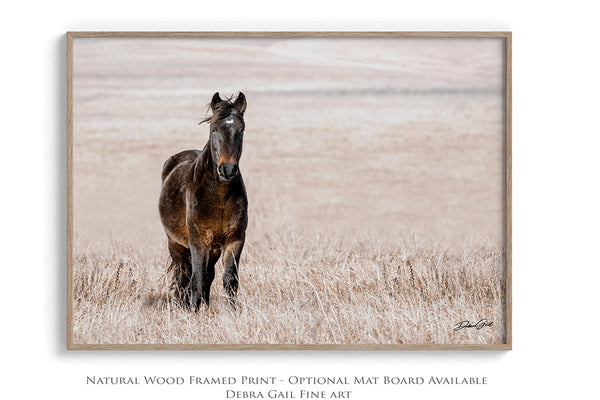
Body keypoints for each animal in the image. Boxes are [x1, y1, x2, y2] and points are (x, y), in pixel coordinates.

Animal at [159, 92, 248, 308]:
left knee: (207, 275)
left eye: (241, 129)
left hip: (213, 249)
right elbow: (197, 279)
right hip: (177, 245)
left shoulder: (235, 240)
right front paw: (194, 311)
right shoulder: (198, 242)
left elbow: (229, 280)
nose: (228, 169)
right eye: (214, 128)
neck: (219, 197)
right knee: (184, 275)